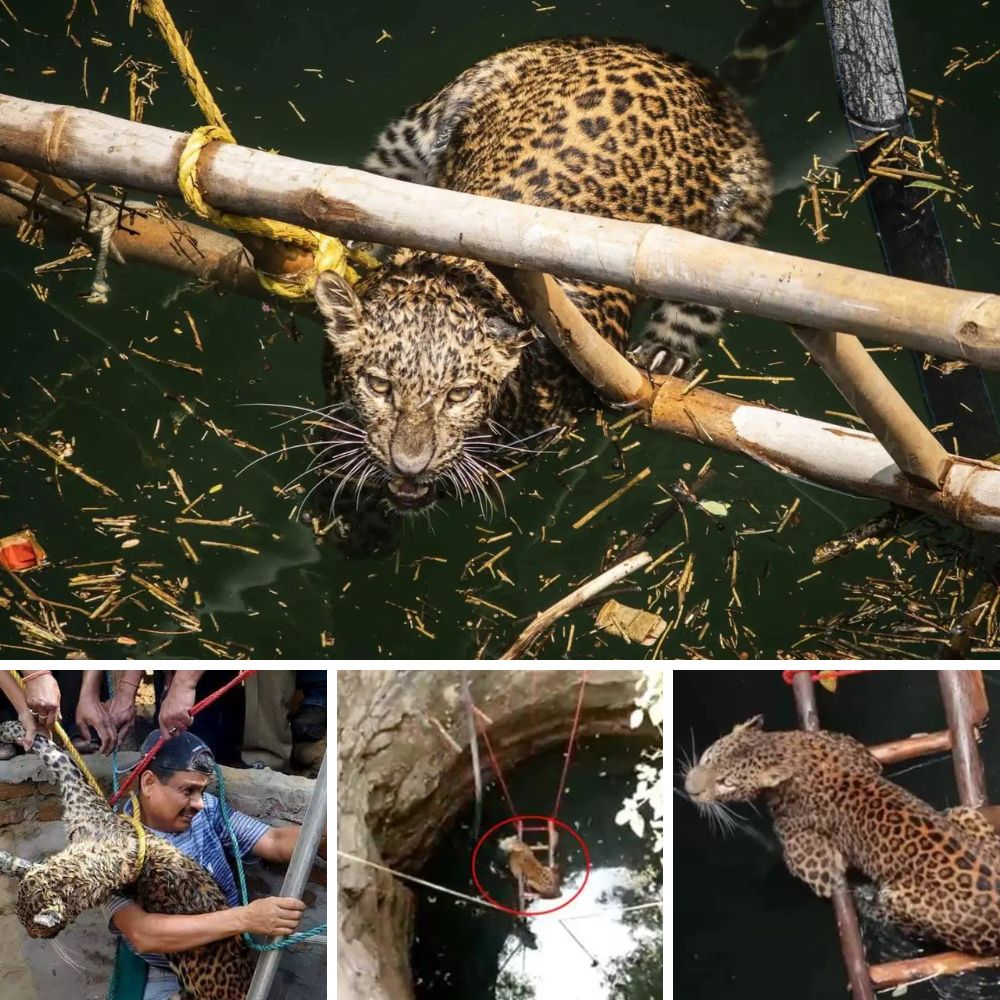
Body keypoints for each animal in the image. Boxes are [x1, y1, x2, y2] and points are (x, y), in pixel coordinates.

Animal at [0, 724, 254, 996]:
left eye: (35, 929)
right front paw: (12, 729)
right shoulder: (80, 805)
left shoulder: (82, 798)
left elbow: (56, 755)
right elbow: (51, 750)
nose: (34, 937)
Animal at [314, 34, 772, 512]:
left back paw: (665, 354)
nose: (409, 465)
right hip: (415, 130)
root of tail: (674, 62)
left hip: (740, 207)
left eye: (459, 394)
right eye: (379, 385)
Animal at [688, 716, 1000, 956]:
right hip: (963, 813)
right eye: (708, 756)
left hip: (898, 897)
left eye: (726, 783)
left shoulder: (814, 861)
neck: (786, 748)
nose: (689, 789)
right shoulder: (852, 748)